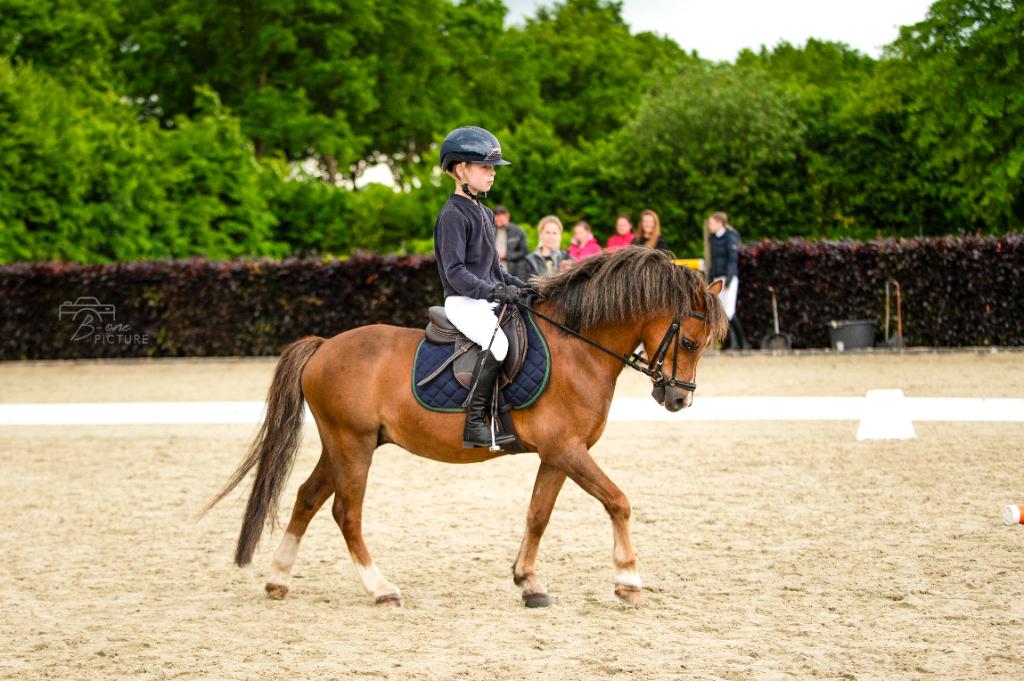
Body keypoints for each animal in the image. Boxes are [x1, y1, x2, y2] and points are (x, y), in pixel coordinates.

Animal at [202, 247, 727, 607]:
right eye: (689, 340)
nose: (679, 399)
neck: (577, 347)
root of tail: (324, 345)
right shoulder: (568, 449)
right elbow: (618, 502)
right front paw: (628, 581)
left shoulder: (557, 454)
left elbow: (538, 515)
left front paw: (528, 582)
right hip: (352, 446)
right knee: (346, 514)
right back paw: (380, 588)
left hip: (344, 445)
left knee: (307, 499)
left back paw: (278, 579)